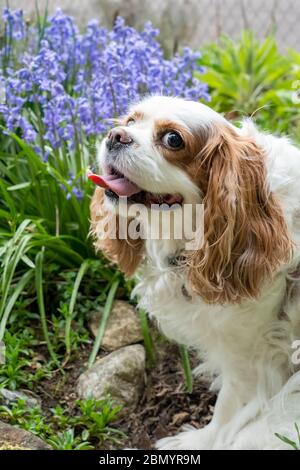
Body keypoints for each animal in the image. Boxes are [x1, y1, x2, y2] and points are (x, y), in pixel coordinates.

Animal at [89, 94, 300, 448]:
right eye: (130, 121)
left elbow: (228, 408)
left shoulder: (251, 354)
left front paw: (201, 440)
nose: (115, 136)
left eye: (173, 139)